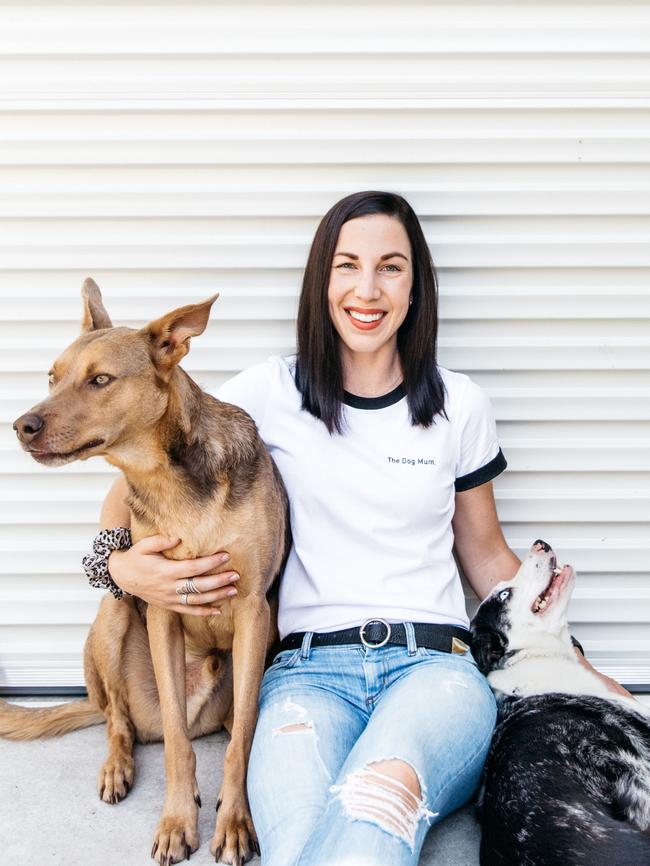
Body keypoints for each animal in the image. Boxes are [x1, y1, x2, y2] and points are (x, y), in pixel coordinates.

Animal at [5, 280, 288, 860]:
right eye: (52, 376)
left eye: (100, 380)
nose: (22, 425)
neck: (167, 480)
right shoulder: (161, 608)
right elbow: (179, 745)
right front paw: (178, 820)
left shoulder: (254, 611)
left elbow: (242, 742)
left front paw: (234, 822)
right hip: (113, 617)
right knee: (119, 720)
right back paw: (118, 764)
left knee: (229, 725)